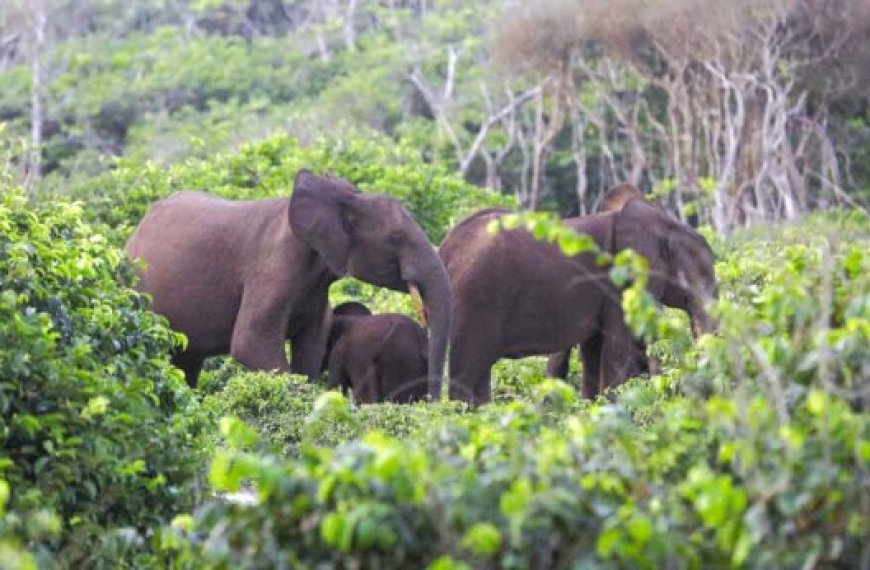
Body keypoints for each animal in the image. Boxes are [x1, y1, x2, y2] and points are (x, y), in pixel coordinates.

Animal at [126, 168, 454, 394]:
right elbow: (251, 342)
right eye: (396, 238)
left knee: (188, 363)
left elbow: (312, 344)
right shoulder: (272, 266)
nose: (432, 403)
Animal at [440, 195, 720, 404]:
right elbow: (616, 351)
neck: (663, 224)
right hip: (475, 301)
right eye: (703, 277)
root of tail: (446, 248)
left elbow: (593, 349)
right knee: (466, 372)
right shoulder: (618, 286)